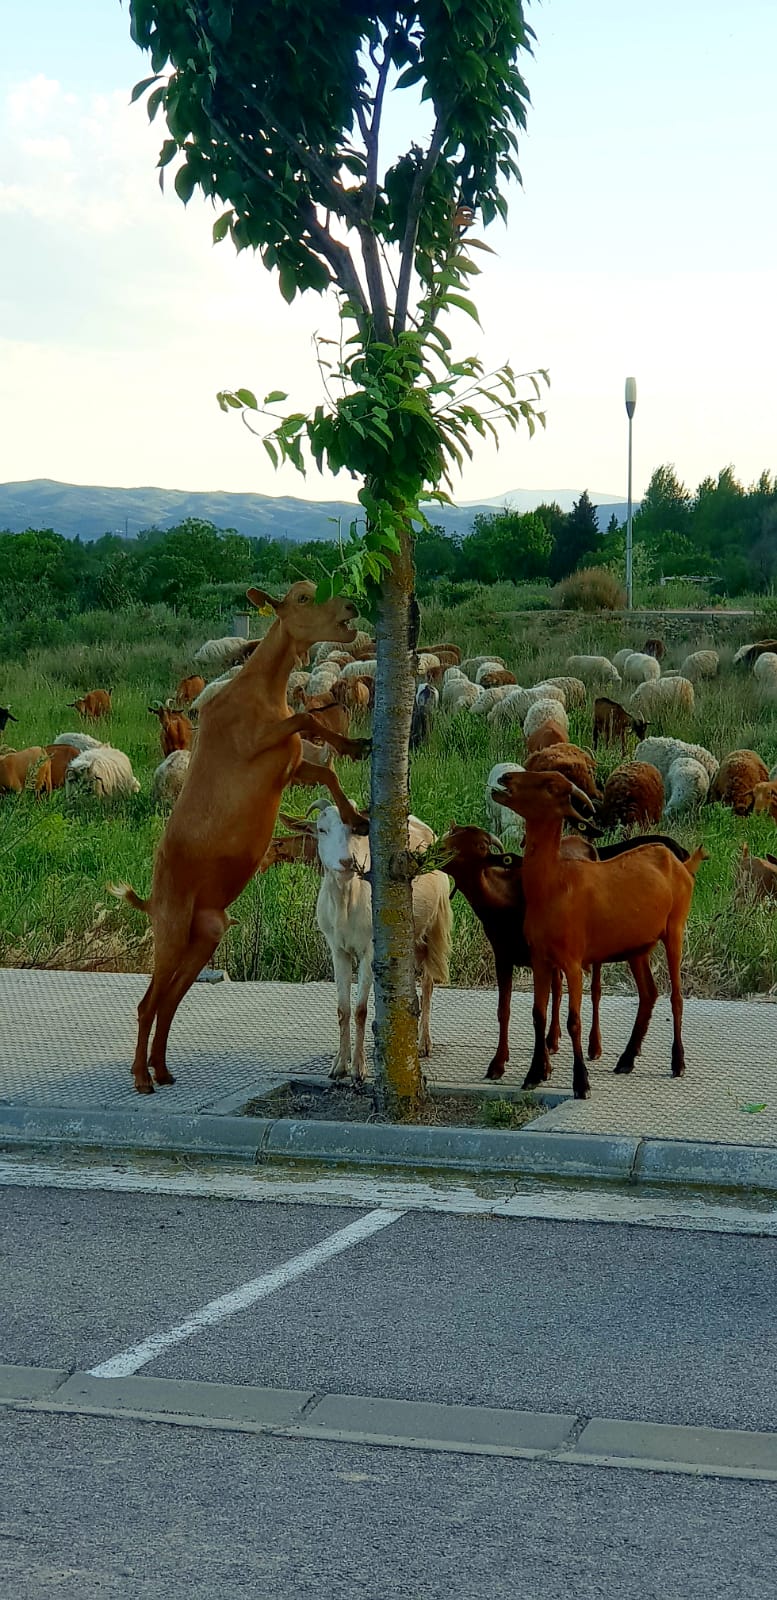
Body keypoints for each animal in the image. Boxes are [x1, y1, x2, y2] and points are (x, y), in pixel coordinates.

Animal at [112, 581, 371, 1094]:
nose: (351, 604)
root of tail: (150, 901)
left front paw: (355, 781)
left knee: (170, 1000)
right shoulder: (258, 745)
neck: (259, 689)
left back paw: (163, 1069)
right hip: (171, 931)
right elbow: (307, 722)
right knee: (149, 1002)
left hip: (205, 935)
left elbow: (326, 769)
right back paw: (141, 1077)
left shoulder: (290, 764)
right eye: (302, 597)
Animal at [491, 768, 707, 1098]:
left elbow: (574, 1021)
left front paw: (581, 1082)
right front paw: (533, 1075)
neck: (554, 886)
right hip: (637, 946)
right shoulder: (540, 958)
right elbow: (538, 1014)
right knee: (649, 993)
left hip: (675, 928)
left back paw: (677, 1062)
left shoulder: (573, 960)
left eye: (550, 785)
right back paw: (626, 1059)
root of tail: (681, 863)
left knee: (676, 996)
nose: (505, 778)